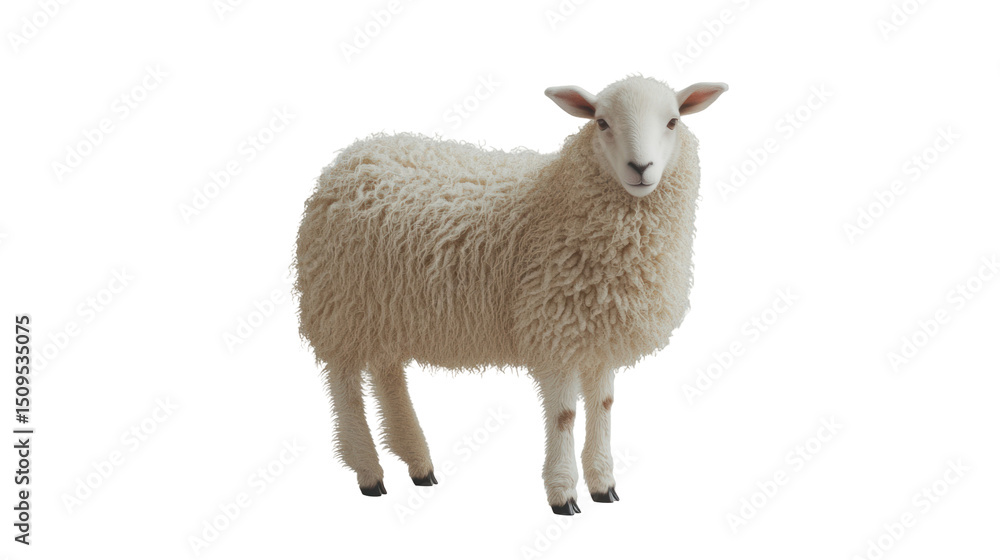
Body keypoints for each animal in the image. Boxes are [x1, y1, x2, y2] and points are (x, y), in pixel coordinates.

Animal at [294, 75, 727, 514]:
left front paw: (604, 484)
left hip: (386, 309)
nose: (640, 169)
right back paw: (368, 470)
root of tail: (353, 155)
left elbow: (603, 407)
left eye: (673, 121)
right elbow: (565, 416)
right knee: (345, 386)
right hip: (340, 304)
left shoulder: (596, 333)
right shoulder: (554, 330)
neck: (558, 200)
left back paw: (417, 462)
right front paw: (563, 494)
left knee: (387, 374)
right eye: (602, 122)